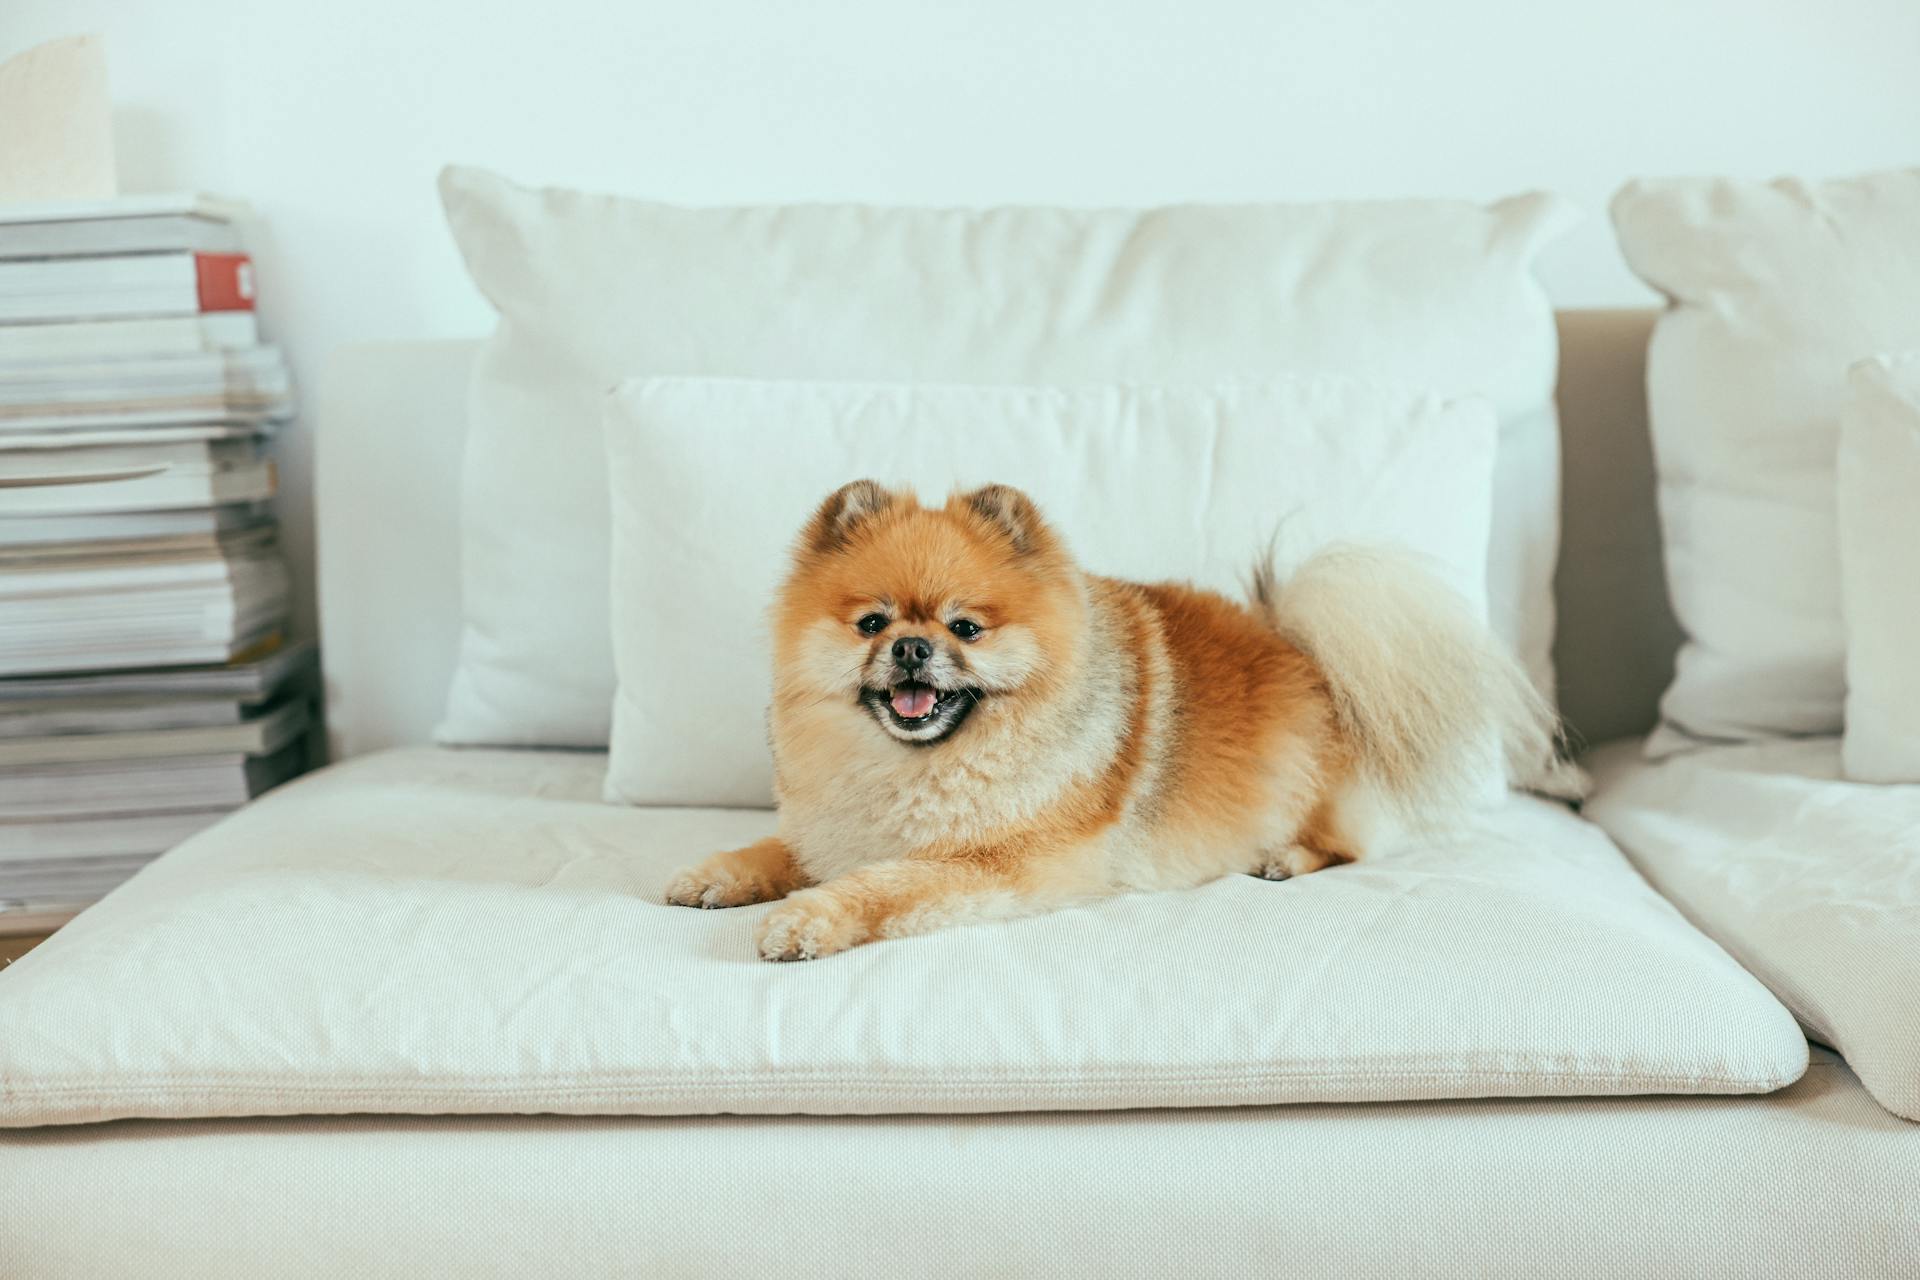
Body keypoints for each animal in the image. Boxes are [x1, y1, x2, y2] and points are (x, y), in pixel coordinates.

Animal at [664, 479, 1574, 959]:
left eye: (966, 628)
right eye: (872, 624)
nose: (914, 648)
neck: (919, 766)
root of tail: (1301, 646)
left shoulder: (1001, 862)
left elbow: (883, 886)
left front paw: (808, 919)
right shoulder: (836, 825)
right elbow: (780, 850)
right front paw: (720, 874)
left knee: (1347, 844)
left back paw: (1283, 858)